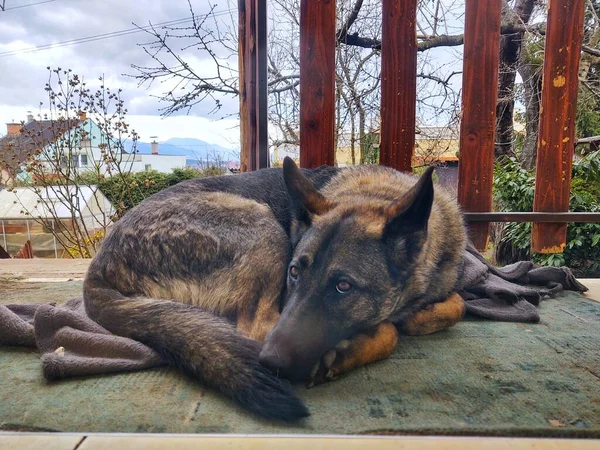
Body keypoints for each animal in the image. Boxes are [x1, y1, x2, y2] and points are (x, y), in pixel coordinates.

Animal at [83, 157, 468, 422]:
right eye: (293, 272)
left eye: (343, 286)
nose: (271, 362)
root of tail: (99, 268)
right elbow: (390, 329)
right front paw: (356, 346)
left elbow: (458, 303)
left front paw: (421, 315)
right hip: (264, 225)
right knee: (253, 328)